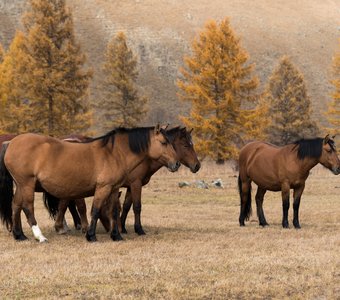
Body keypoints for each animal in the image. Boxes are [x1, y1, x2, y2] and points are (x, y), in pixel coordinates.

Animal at [0, 125, 181, 243]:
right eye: (164, 142)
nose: (177, 164)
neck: (114, 153)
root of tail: (11, 143)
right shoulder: (103, 188)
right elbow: (95, 210)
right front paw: (91, 235)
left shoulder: (114, 189)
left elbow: (113, 211)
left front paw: (116, 235)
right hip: (27, 184)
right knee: (27, 207)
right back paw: (40, 236)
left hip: (21, 185)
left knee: (15, 206)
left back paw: (19, 235)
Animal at [44, 125, 201, 236]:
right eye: (186, 145)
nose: (197, 165)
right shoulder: (136, 183)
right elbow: (136, 206)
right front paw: (138, 229)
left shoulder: (130, 186)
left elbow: (125, 206)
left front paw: (123, 227)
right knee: (70, 204)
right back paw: (72, 227)